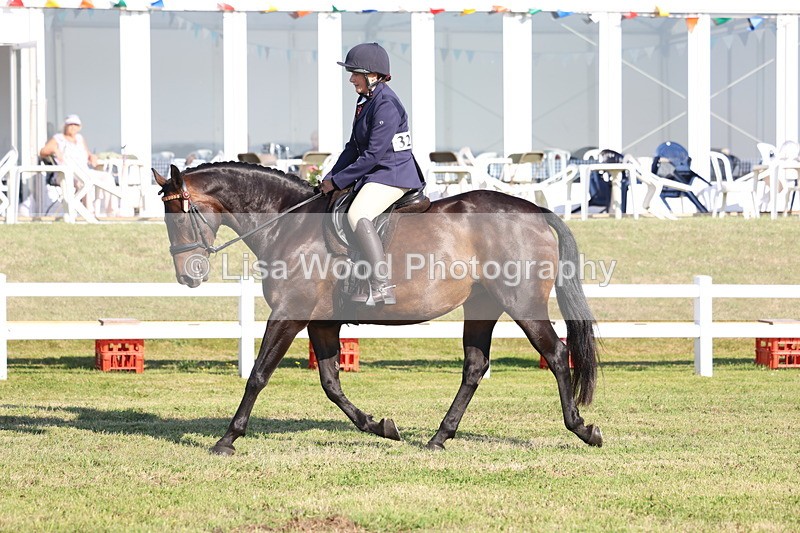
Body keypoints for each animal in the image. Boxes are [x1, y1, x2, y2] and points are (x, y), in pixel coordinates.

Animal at [153, 162, 602, 455]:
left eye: (179, 216)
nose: (188, 275)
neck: (288, 224)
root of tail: (537, 211)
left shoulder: (289, 313)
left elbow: (258, 375)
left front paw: (227, 439)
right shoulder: (320, 322)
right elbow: (331, 384)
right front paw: (380, 426)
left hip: (522, 303)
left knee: (557, 355)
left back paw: (582, 428)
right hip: (483, 305)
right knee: (475, 366)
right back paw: (439, 438)